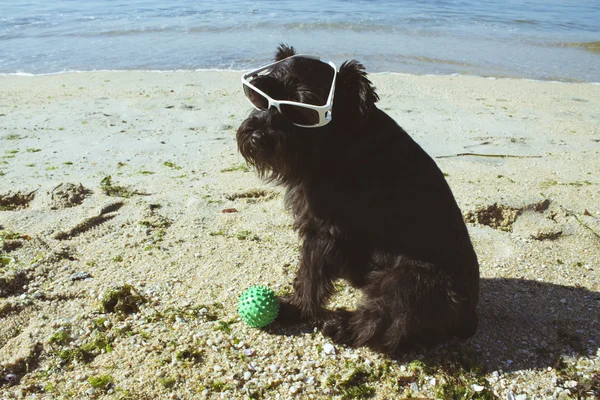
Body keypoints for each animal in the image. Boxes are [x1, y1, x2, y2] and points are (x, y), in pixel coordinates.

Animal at [237, 45, 480, 354]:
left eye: (303, 108)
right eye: (260, 93)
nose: (257, 135)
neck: (339, 140)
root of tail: (469, 317)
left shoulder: (324, 232)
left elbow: (310, 274)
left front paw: (296, 309)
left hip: (406, 281)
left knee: (383, 320)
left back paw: (342, 326)